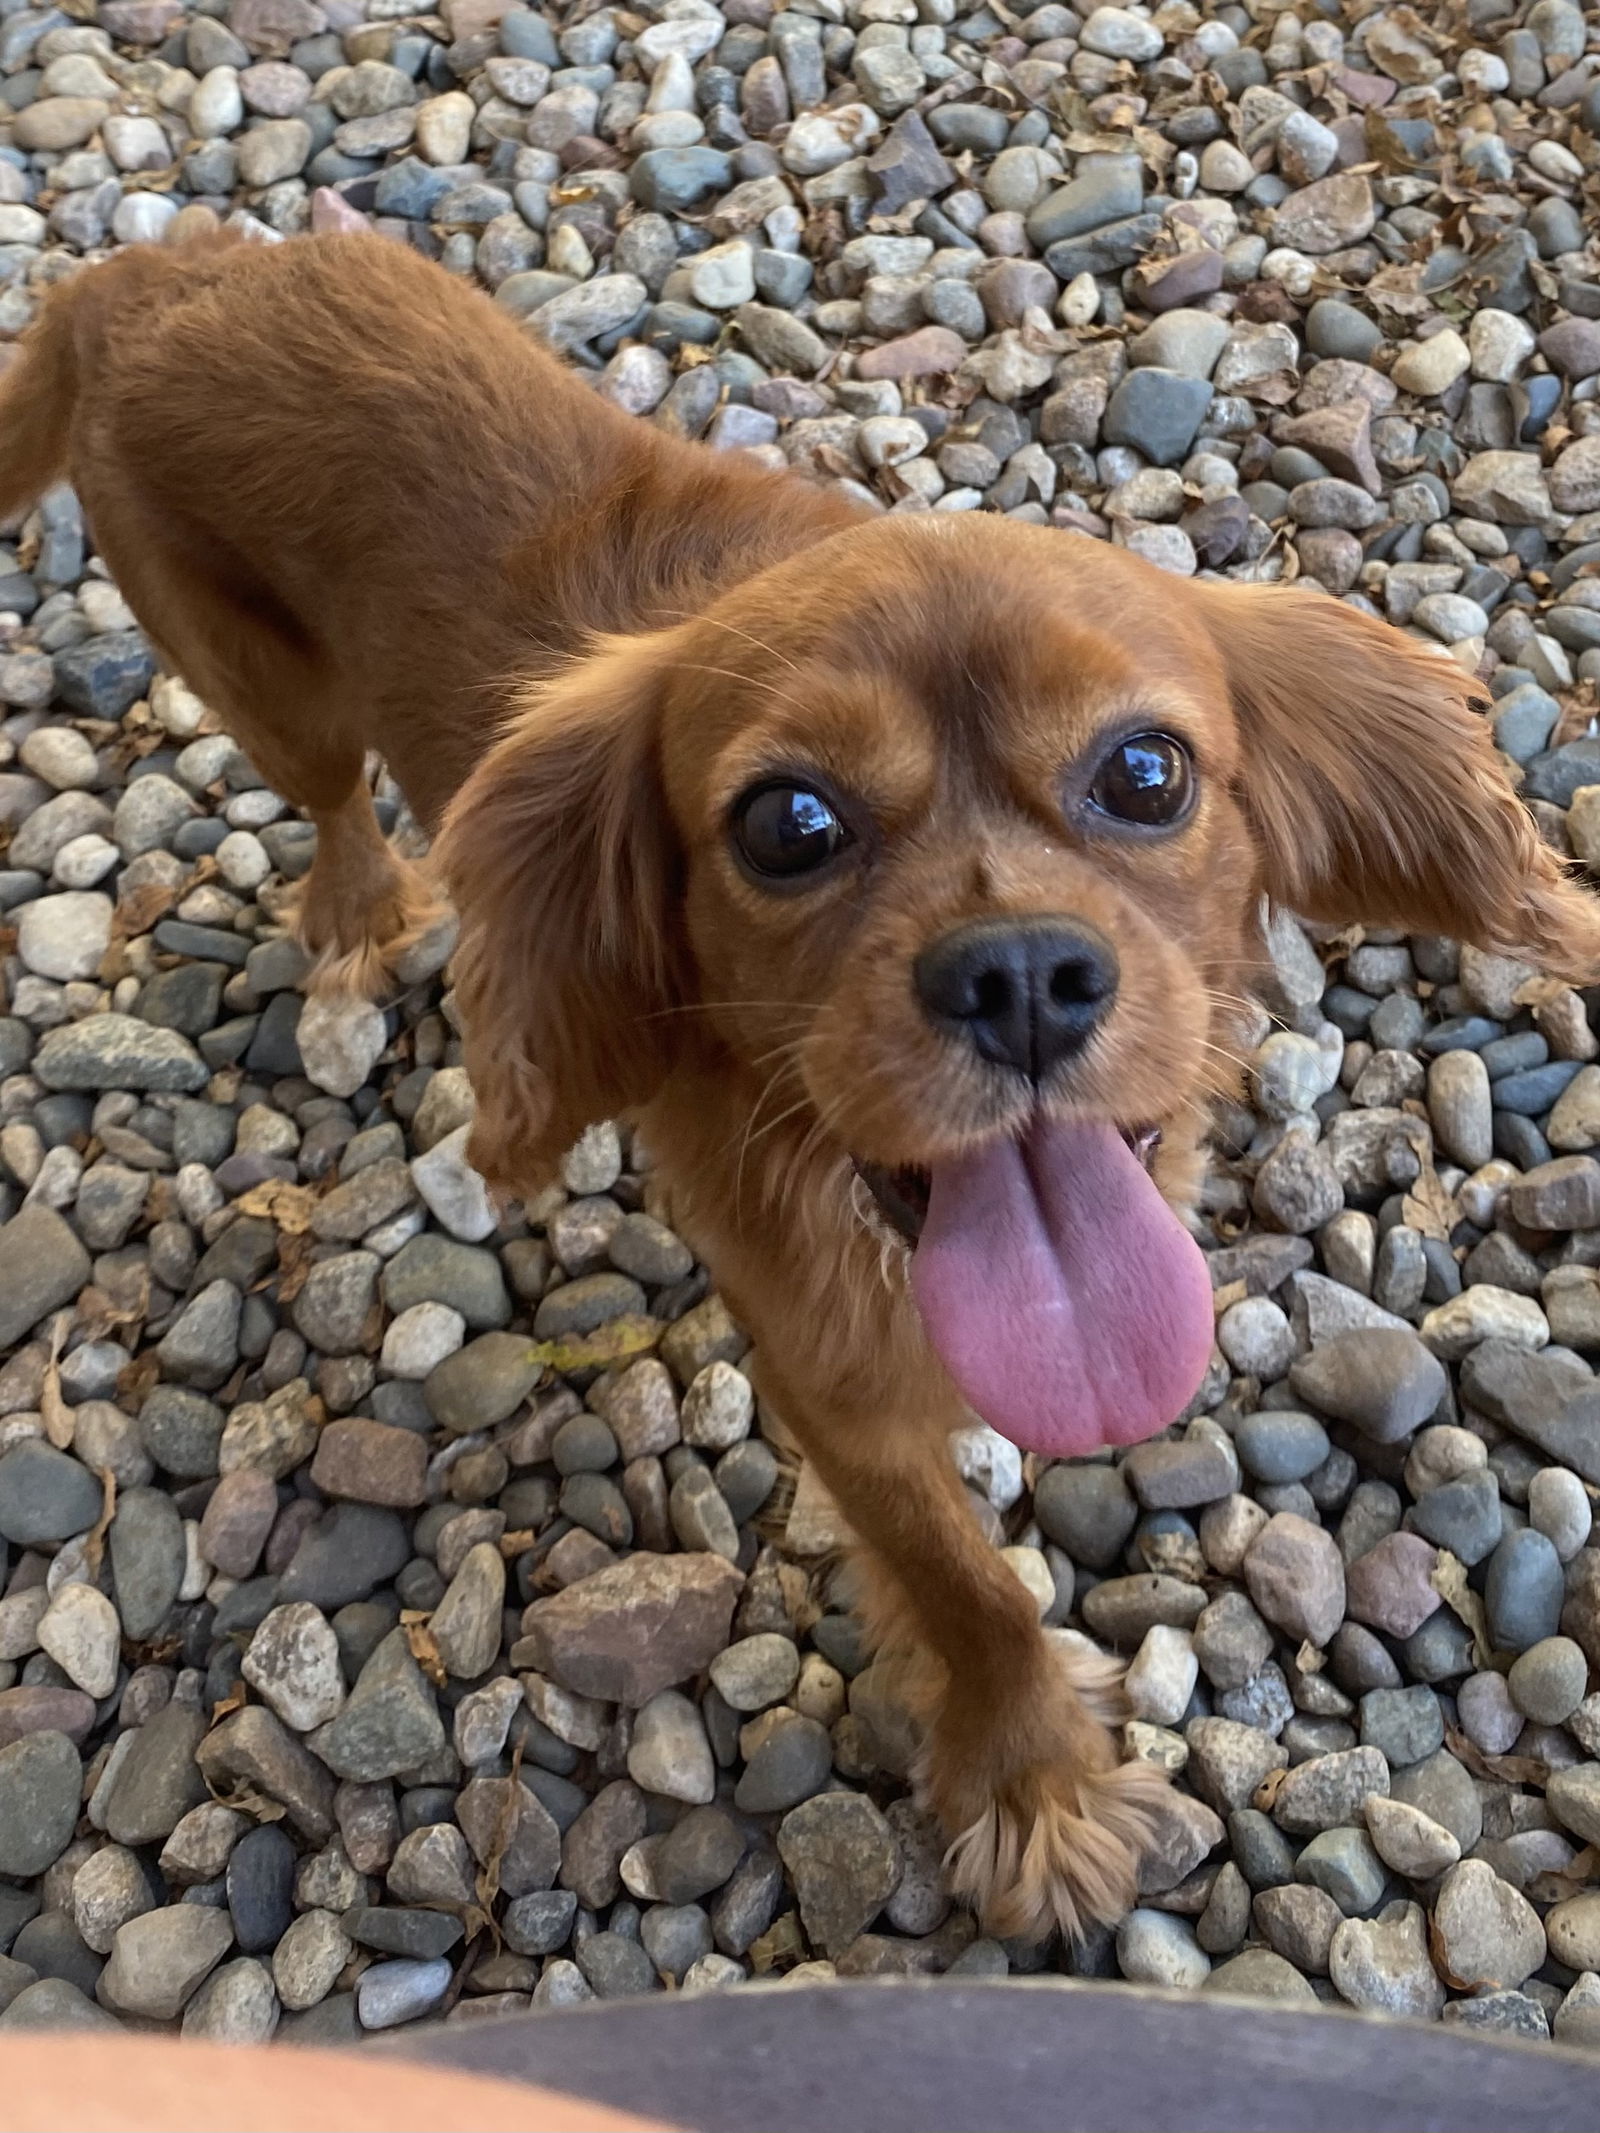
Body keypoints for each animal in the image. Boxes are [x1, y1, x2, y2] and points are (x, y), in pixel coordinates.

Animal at [6, 229, 1595, 1936]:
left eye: (1147, 772)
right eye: (790, 824)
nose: (1017, 975)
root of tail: (147, 269)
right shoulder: (825, 1363)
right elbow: (964, 1583)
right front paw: (1034, 1782)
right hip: (266, 691)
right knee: (324, 796)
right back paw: (365, 907)